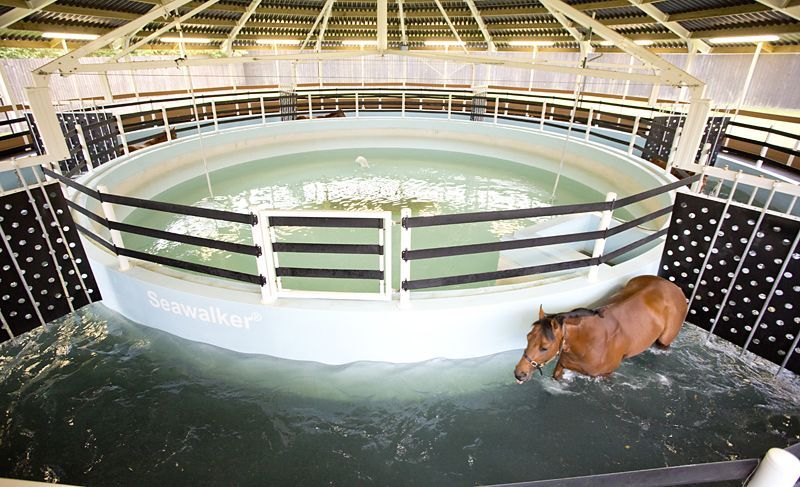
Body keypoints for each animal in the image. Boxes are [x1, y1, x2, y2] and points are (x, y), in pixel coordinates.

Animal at [514, 275, 687, 383]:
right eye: (528, 337)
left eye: (544, 347)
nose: (519, 373)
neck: (589, 341)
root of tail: (674, 286)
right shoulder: (562, 366)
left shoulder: (604, 375)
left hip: (664, 341)